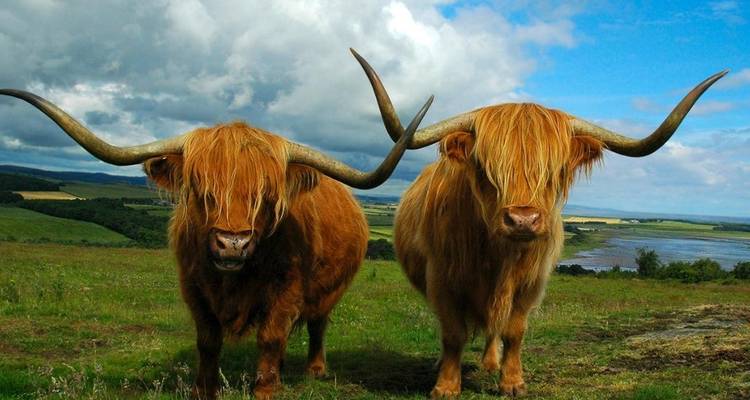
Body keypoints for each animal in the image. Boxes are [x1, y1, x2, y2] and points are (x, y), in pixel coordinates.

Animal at [0, 50, 432, 399]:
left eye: (267, 196)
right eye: (200, 189)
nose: (232, 244)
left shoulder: (287, 292)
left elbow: (271, 339)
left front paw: (267, 389)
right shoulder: (193, 288)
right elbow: (208, 342)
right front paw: (203, 390)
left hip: (330, 291)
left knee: (317, 325)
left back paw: (315, 369)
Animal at [370, 69, 727, 397]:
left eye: (555, 171)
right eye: (485, 168)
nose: (522, 220)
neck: (498, 257)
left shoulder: (531, 283)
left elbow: (514, 331)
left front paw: (512, 382)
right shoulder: (442, 279)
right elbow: (453, 333)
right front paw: (445, 386)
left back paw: (491, 362)